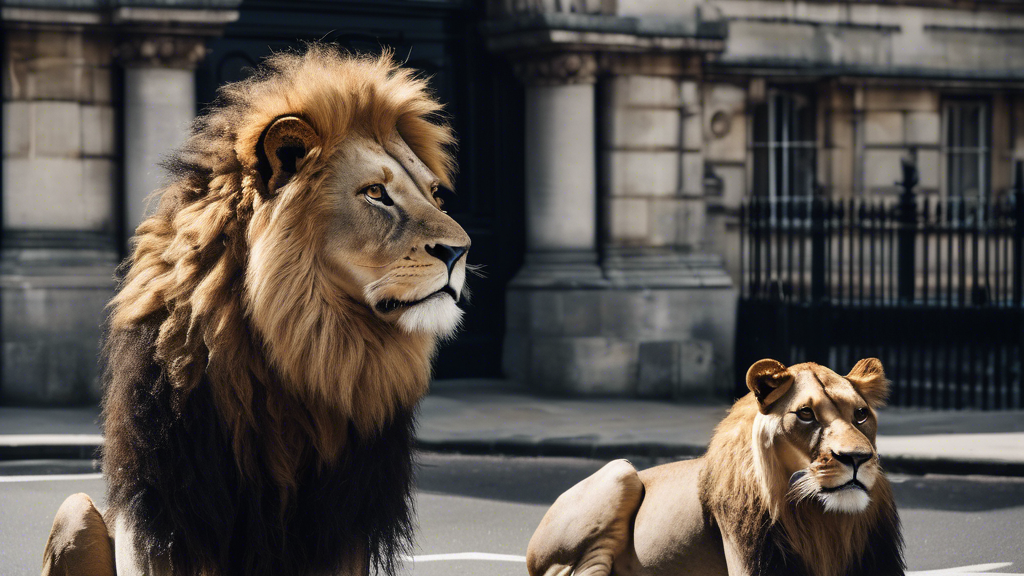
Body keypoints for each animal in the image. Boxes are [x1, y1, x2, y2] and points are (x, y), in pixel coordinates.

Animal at [41, 45, 469, 576]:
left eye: (434, 193)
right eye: (375, 192)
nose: (461, 252)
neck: (306, 354)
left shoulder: (340, 535)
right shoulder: (167, 527)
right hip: (76, 510)